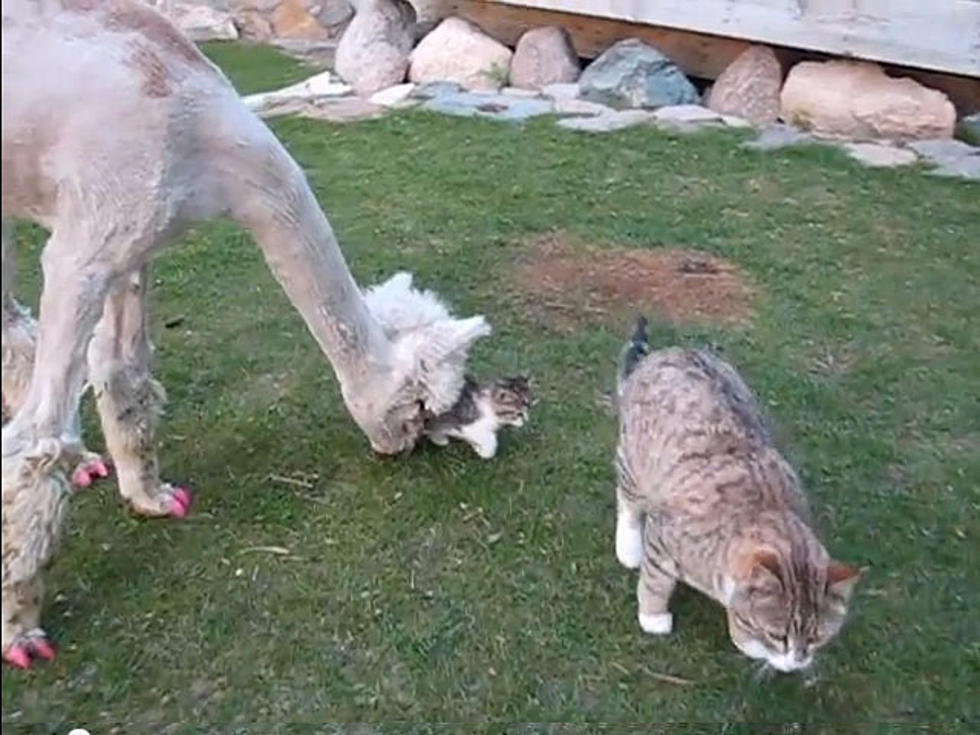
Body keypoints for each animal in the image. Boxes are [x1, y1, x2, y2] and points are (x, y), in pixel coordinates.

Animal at [616, 316, 860, 672]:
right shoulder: (665, 535)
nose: (797, 662)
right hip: (635, 465)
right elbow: (656, 580)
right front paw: (653, 616)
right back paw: (629, 546)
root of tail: (668, 352)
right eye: (777, 635)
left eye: (816, 638)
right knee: (629, 503)